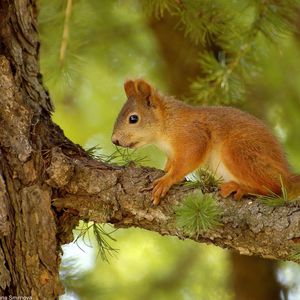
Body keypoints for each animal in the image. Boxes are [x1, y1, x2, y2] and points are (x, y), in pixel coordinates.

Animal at [112, 78, 300, 205]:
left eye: (133, 118)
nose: (114, 140)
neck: (168, 124)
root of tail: (287, 175)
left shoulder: (193, 136)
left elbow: (187, 161)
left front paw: (167, 180)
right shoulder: (172, 154)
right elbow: (171, 164)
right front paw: (165, 172)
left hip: (237, 152)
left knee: (276, 189)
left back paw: (242, 188)